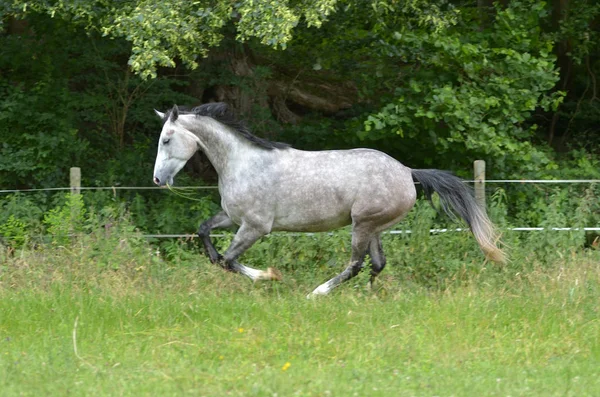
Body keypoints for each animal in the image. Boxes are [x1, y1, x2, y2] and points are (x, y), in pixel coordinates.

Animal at [152, 103, 504, 296]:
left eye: (167, 139)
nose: (157, 180)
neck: (243, 162)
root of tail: (407, 171)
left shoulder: (254, 227)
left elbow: (230, 260)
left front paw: (270, 277)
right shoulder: (233, 218)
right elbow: (205, 233)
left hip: (362, 225)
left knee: (356, 264)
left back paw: (318, 293)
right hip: (374, 227)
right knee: (377, 264)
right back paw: (368, 296)